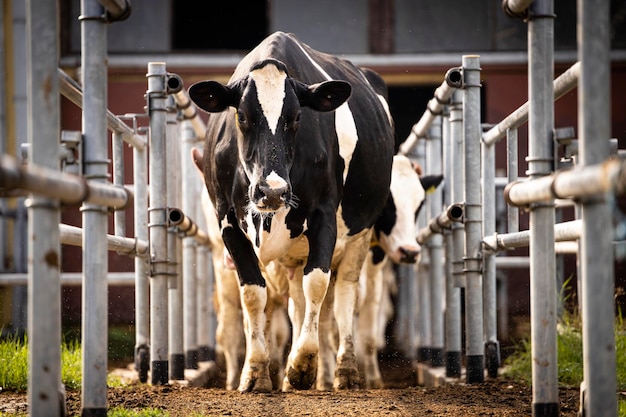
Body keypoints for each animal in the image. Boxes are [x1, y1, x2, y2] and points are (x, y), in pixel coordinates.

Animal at [188, 31, 390, 390]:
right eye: (242, 116)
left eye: (297, 118)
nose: (273, 191)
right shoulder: (227, 222)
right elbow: (254, 294)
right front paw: (255, 372)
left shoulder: (324, 216)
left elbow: (318, 283)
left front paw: (303, 364)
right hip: (293, 254)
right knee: (297, 304)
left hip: (359, 236)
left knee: (345, 296)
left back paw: (345, 371)